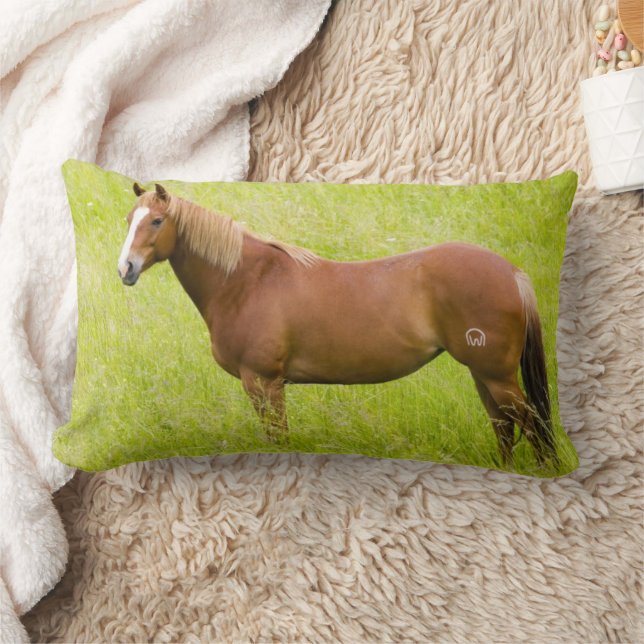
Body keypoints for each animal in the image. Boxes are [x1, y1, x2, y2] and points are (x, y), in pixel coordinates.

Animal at [117, 183, 558, 467]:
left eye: (156, 221)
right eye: (128, 219)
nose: (126, 269)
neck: (247, 280)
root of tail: (512, 272)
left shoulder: (263, 382)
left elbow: (278, 438)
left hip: (495, 375)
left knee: (532, 423)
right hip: (484, 375)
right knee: (504, 425)